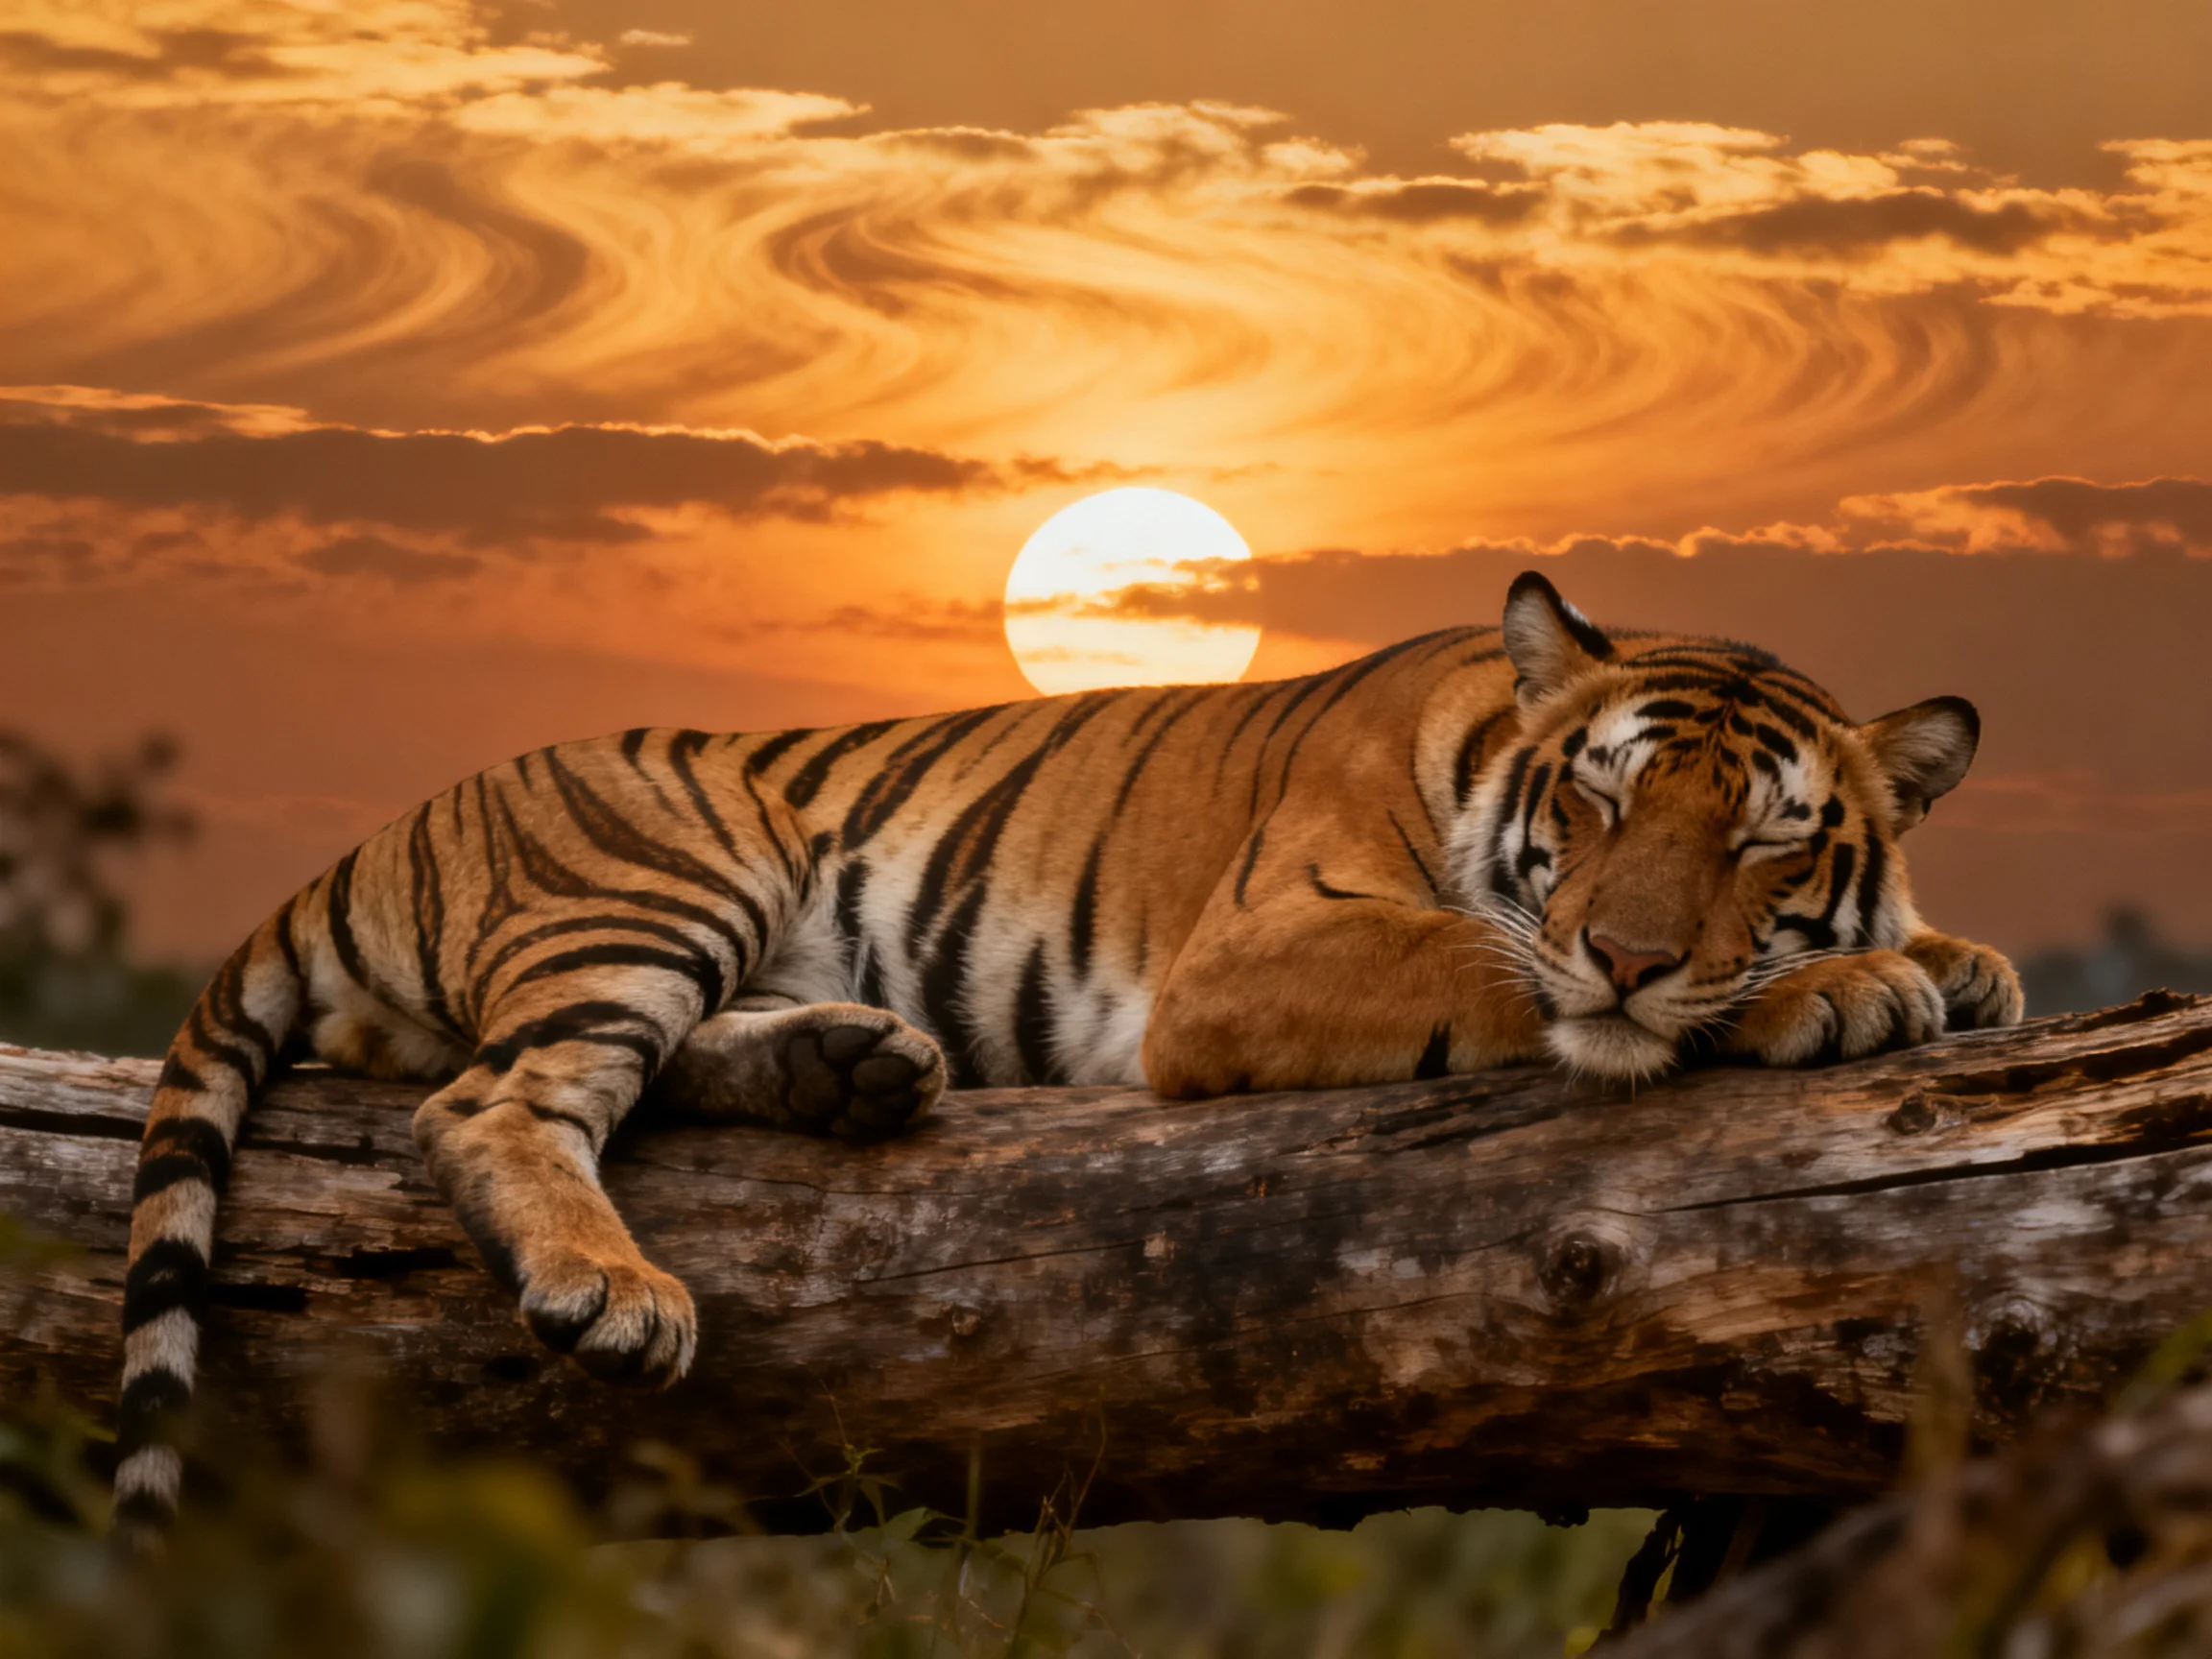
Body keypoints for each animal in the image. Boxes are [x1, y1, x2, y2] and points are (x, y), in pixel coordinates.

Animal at [113, 570, 2023, 1539]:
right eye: (1607, 802)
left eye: (1766, 839)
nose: (1634, 945)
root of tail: (380, 830)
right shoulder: (1258, 955)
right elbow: (1514, 972)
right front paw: (1829, 992)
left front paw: (1955, 959)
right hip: (675, 866)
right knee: (484, 1095)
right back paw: (618, 1290)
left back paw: (850, 1065)